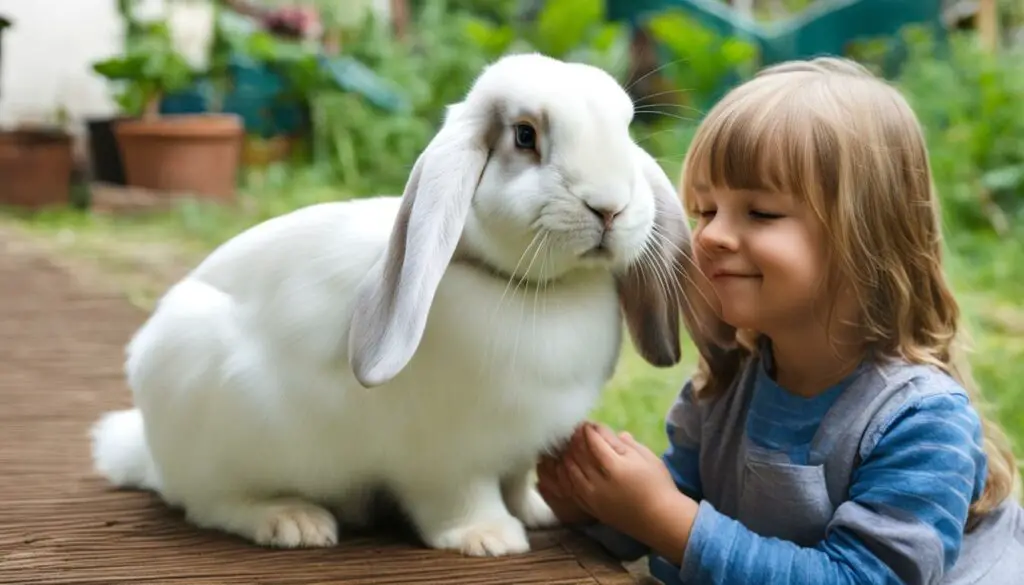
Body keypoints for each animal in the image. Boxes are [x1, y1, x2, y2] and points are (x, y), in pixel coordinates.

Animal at [86, 53, 729, 557]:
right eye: (524, 136)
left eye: (626, 128)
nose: (610, 206)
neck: (532, 289)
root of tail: (149, 447)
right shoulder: (448, 458)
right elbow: (463, 496)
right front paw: (490, 537)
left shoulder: (521, 448)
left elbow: (518, 480)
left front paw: (537, 512)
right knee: (206, 502)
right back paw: (293, 521)